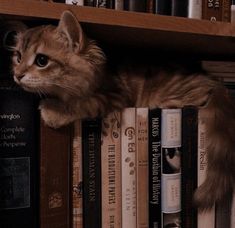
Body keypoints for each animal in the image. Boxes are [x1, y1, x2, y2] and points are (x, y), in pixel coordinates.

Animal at [10, 10, 235, 210]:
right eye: (18, 57)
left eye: (41, 60)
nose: (17, 75)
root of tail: (214, 83)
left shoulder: (112, 96)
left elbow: (80, 103)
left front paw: (52, 110)